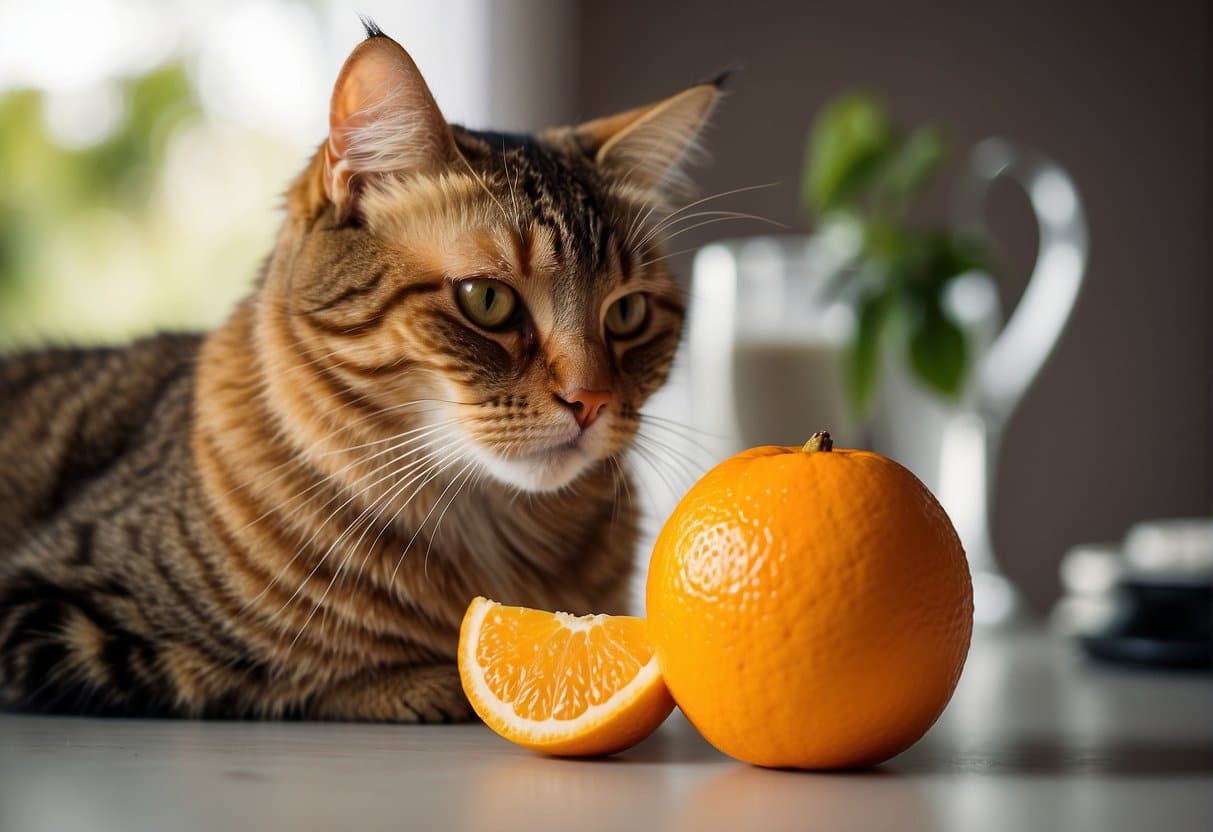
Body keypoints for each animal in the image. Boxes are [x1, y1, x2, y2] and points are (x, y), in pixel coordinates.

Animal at [0, 22, 718, 717]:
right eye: (487, 300)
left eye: (626, 313)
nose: (590, 399)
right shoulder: (48, 615)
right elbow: (261, 671)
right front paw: (417, 681)